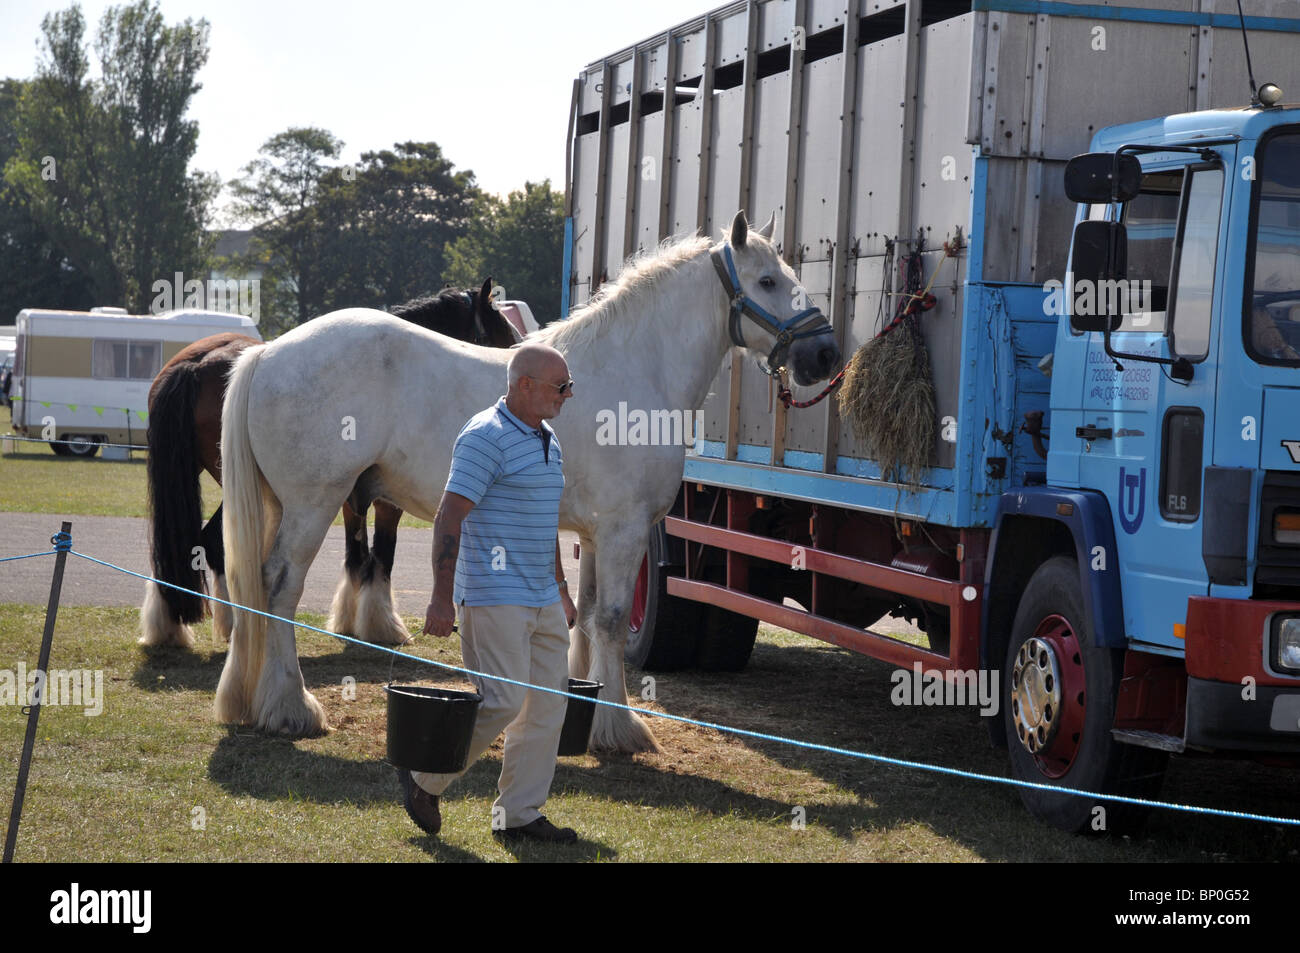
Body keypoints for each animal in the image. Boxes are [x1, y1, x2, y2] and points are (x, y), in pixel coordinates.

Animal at [134, 275, 514, 647]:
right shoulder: (385, 502)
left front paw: (350, 620)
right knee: (216, 547)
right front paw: (380, 624)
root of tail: (198, 362)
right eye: (501, 335)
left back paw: (174, 627)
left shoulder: (352, 499)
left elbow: (357, 555)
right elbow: (381, 555)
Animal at [217, 213, 837, 748]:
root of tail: (268, 353)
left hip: (286, 506)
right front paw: (622, 731)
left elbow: (586, 616)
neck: (634, 370)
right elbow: (612, 622)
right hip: (311, 505)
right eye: (767, 281)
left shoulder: (592, 536)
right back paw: (291, 709)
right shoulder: (623, 531)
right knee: (279, 587)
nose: (826, 353)